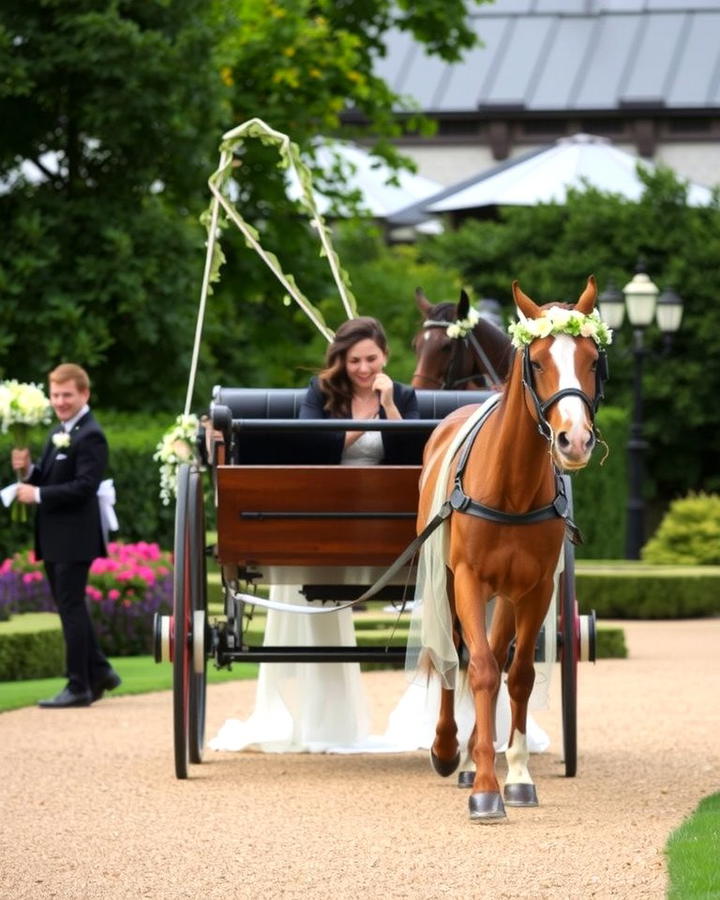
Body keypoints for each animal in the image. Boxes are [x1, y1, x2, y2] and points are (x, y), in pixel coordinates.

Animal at [416, 276, 608, 824]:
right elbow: (478, 668)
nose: (574, 440)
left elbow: (516, 674)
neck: (513, 484)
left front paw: (517, 775)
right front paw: (484, 785)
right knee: (455, 656)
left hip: (505, 595)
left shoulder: (536, 587)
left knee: (496, 655)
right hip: (448, 586)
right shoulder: (467, 579)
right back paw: (449, 751)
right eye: (538, 361)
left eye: (592, 360)